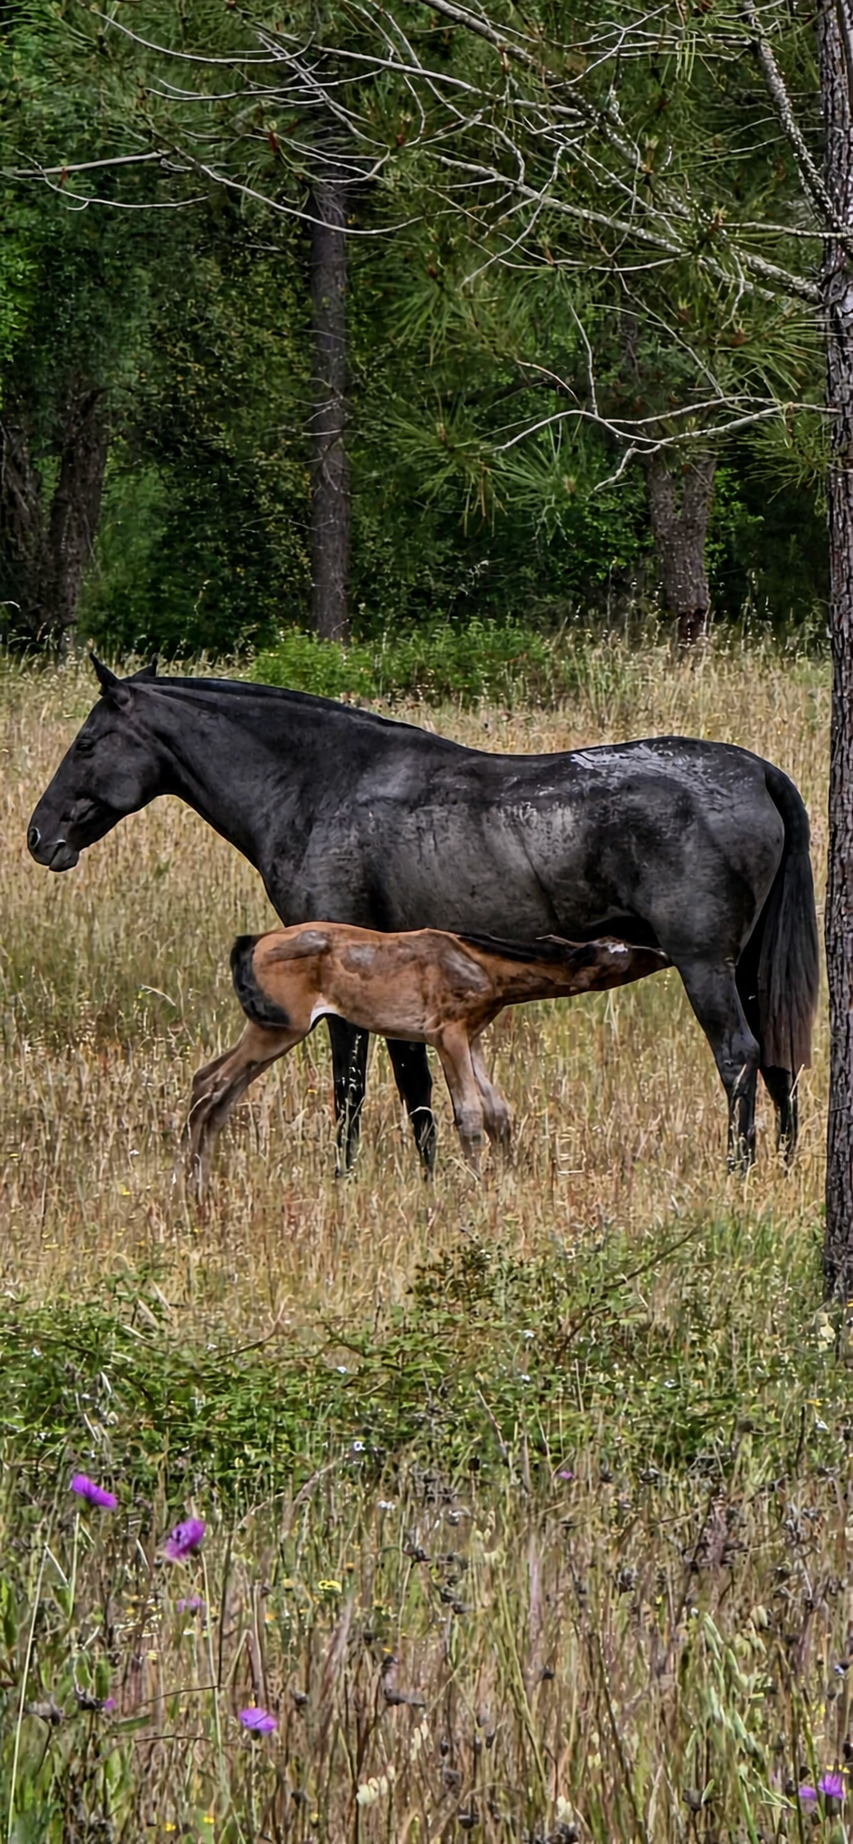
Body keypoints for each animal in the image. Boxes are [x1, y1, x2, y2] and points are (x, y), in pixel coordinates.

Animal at [184, 924, 670, 1187]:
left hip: (270, 1031)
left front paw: (508, 1177)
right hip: (279, 1030)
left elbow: (498, 1113)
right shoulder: (447, 1034)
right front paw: (476, 1185)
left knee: (211, 1086)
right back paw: (188, 1184)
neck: (482, 964)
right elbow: (469, 1115)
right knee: (212, 1088)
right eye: (620, 954)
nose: (662, 951)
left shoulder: (472, 1037)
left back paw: (194, 1183)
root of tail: (254, 941)